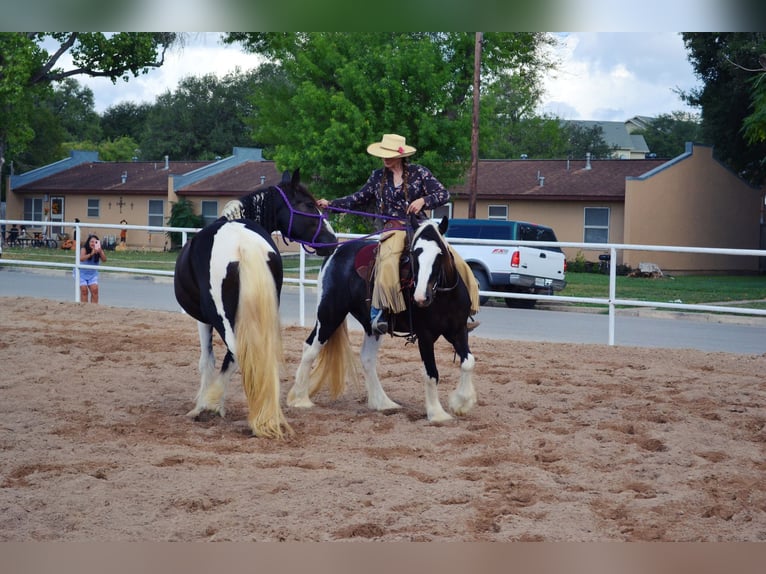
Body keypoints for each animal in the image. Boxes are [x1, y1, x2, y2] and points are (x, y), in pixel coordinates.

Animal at [178, 169, 340, 438]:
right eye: (308, 205)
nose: (332, 240)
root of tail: (244, 244)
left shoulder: (204, 320)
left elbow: (207, 361)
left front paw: (204, 406)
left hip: (224, 319)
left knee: (237, 354)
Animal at [292, 216, 476, 424]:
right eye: (414, 254)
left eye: (440, 253)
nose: (421, 297)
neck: (444, 297)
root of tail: (336, 252)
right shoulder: (425, 336)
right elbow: (431, 373)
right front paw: (437, 413)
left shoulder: (458, 330)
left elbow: (468, 361)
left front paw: (461, 403)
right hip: (329, 314)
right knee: (310, 348)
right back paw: (300, 399)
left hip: (370, 326)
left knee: (367, 358)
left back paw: (383, 403)